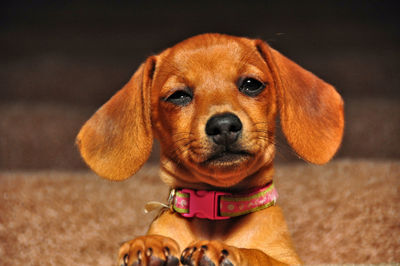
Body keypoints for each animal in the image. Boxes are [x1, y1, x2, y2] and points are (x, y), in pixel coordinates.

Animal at [77, 34, 344, 264]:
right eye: (178, 95)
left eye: (251, 84)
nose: (223, 125)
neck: (215, 219)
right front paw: (145, 244)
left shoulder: (288, 260)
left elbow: (259, 254)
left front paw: (224, 250)